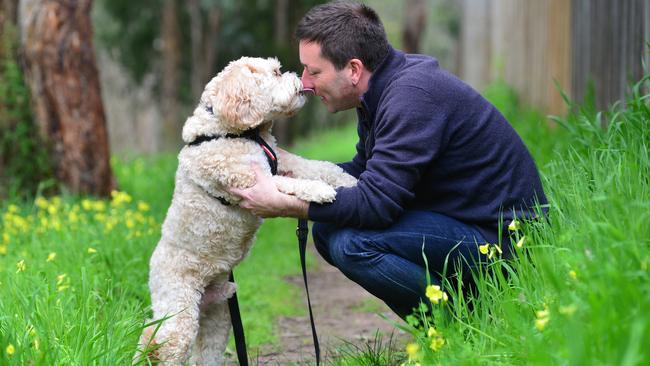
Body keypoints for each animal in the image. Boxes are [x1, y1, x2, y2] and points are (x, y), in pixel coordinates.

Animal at [135, 55, 354, 364]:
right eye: (276, 73)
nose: (299, 80)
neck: (233, 131)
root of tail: (153, 268)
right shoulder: (249, 180)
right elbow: (289, 183)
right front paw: (319, 191)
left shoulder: (283, 160)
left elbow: (319, 167)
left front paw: (350, 181)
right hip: (179, 312)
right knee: (156, 341)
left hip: (217, 315)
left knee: (199, 351)